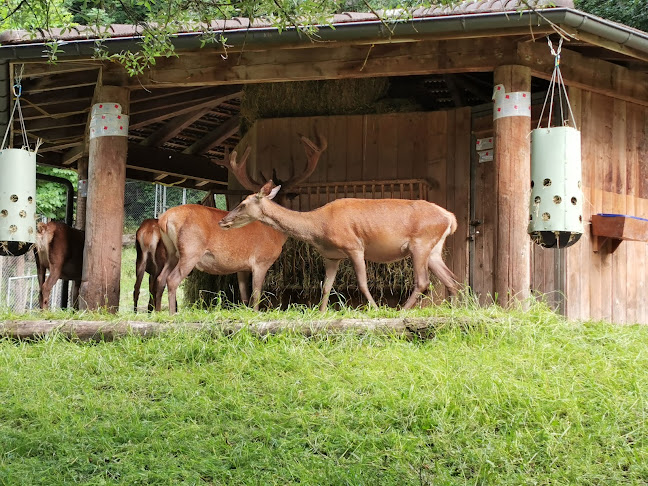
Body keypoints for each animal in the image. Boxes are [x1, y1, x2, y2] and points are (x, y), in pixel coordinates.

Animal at [154, 135, 326, 314]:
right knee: (172, 279)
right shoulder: (261, 260)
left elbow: (244, 296)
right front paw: (256, 313)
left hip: (171, 252)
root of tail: (164, 218)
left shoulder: (241, 267)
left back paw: (157, 312)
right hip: (190, 249)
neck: (275, 235)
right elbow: (256, 295)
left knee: (160, 278)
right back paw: (172, 314)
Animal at [220, 179, 458, 312]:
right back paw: (456, 309)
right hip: (434, 249)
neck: (318, 227)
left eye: (242, 203)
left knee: (423, 281)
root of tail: (450, 217)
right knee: (451, 279)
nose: (223, 221)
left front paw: (374, 309)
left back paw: (402, 311)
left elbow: (362, 283)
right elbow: (326, 286)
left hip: (421, 243)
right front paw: (321, 313)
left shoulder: (354, 246)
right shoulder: (331, 256)